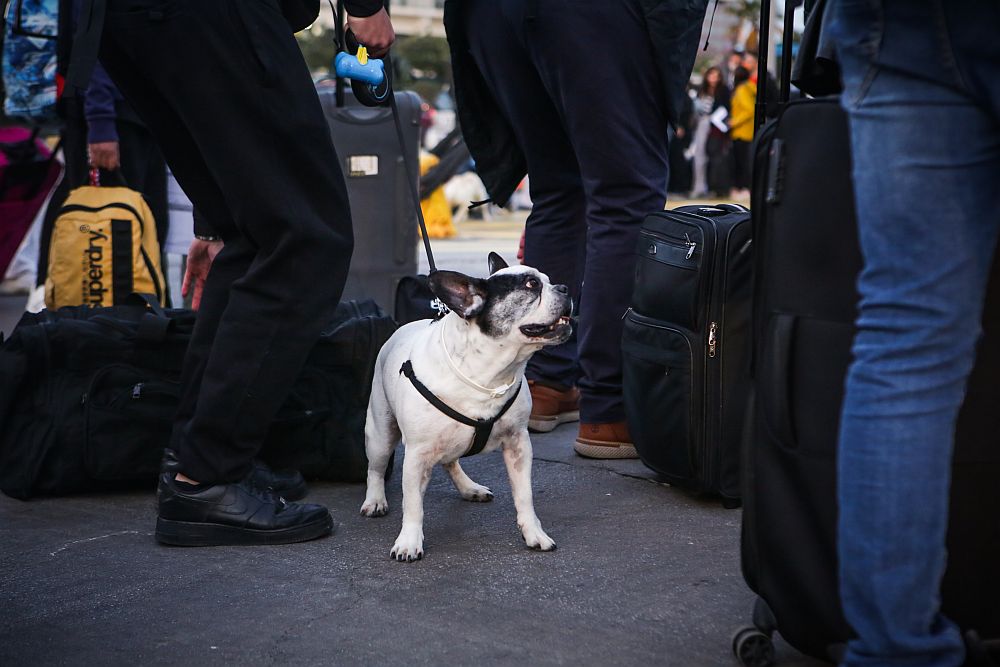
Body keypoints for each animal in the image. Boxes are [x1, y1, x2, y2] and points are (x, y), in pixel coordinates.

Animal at [364, 253, 576, 560]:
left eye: (547, 280)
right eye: (531, 284)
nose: (565, 287)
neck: (489, 373)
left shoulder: (518, 444)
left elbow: (524, 495)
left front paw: (534, 534)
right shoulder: (417, 454)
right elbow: (413, 503)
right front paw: (409, 542)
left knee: (450, 461)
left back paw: (469, 488)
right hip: (381, 434)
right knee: (376, 468)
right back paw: (375, 500)